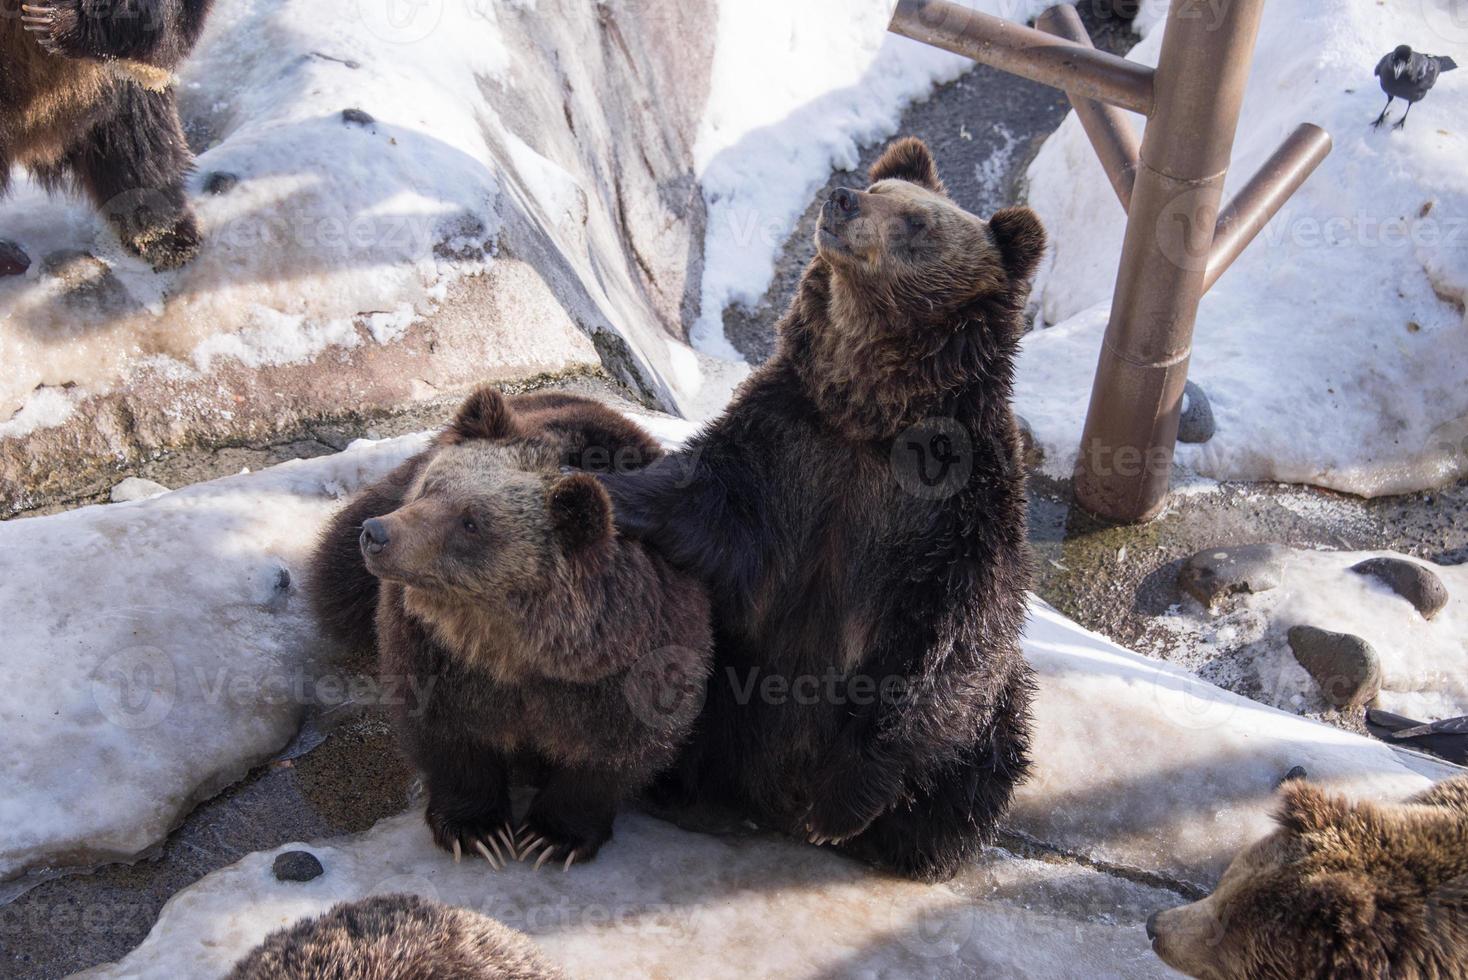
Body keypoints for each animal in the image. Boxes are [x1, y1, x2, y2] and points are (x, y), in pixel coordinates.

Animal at [312, 387, 713, 868]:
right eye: (432, 487)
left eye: (470, 521)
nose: (377, 534)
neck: (517, 648)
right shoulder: (435, 652)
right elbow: (444, 732)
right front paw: (476, 828)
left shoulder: (633, 666)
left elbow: (617, 751)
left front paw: (553, 836)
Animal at [596, 135, 1045, 880]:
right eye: (879, 185)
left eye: (917, 221)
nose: (841, 199)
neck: (871, 418)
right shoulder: (786, 446)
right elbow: (701, 501)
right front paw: (597, 484)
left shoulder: (958, 509)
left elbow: (951, 640)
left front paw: (843, 806)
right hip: (729, 689)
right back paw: (679, 787)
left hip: (990, 727)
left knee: (994, 735)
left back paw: (917, 847)